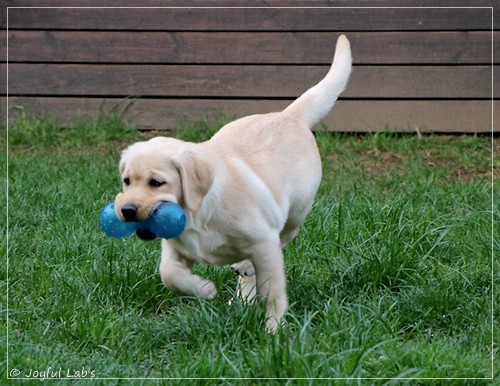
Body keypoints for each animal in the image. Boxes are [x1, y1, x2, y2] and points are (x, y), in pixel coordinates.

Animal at [114, 35, 352, 332]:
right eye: (126, 181)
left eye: (156, 182)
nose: (126, 210)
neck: (197, 214)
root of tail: (289, 115)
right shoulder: (175, 246)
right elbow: (168, 274)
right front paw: (204, 289)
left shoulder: (264, 241)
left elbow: (272, 291)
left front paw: (273, 329)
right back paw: (241, 294)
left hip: (295, 213)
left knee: (280, 242)